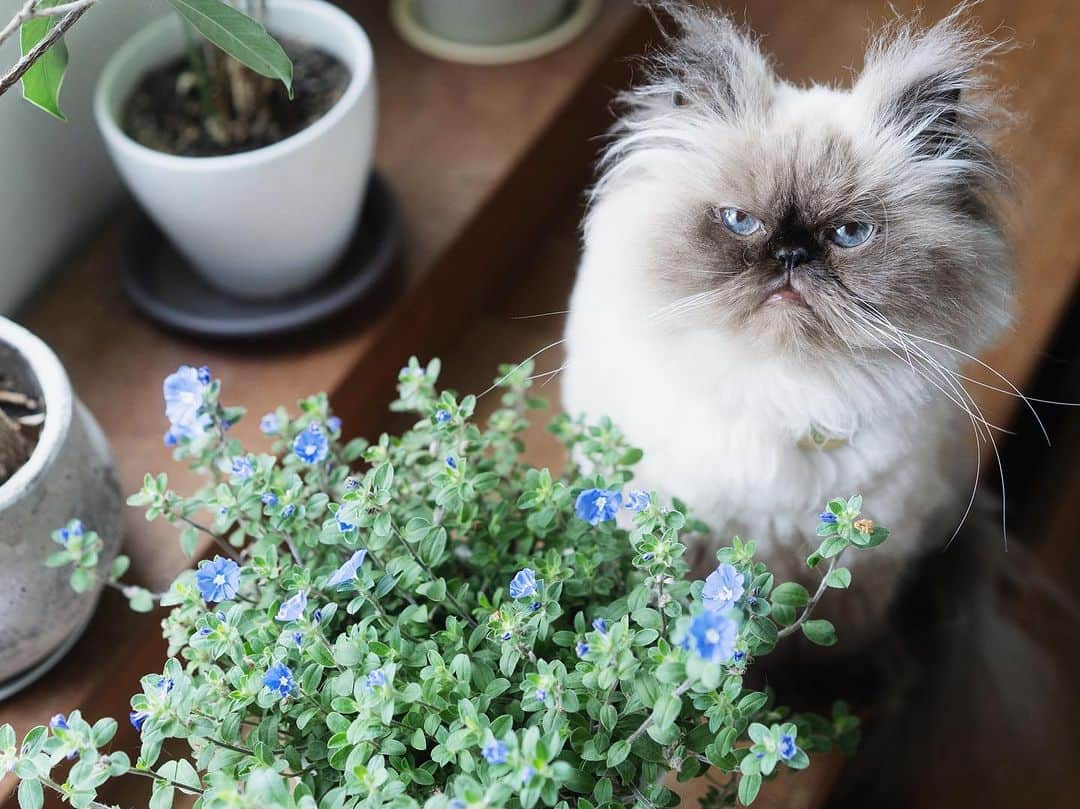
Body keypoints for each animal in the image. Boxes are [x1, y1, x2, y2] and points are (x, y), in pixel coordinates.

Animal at [561, 0, 1015, 643]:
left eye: (850, 234)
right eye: (739, 221)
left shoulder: (862, 569)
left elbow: (839, 647)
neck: (790, 390)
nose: (792, 255)